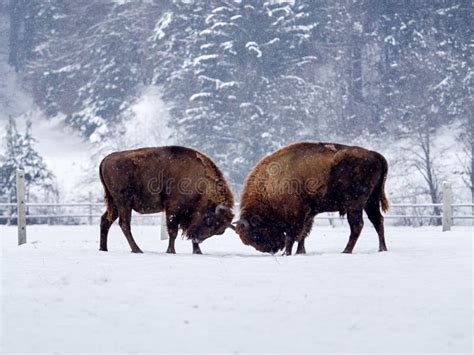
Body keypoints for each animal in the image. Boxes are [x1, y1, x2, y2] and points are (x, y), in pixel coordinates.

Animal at [98, 146, 235, 254]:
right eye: (209, 221)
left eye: (220, 231)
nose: (197, 238)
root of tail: (105, 160)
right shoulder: (173, 209)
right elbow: (172, 232)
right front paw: (171, 251)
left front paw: (198, 252)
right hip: (124, 203)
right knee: (124, 224)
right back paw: (137, 250)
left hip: (115, 205)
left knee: (105, 220)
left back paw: (103, 248)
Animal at [235, 142, 390, 256]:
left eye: (256, 234)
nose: (272, 249)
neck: (269, 184)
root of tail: (373, 154)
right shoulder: (308, 214)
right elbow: (303, 234)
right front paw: (300, 252)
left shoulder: (295, 215)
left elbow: (292, 235)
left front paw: (287, 253)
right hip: (371, 201)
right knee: (378, 221)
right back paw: (382, 249)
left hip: (355, 204)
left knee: (357, 225)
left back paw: (346, 251)